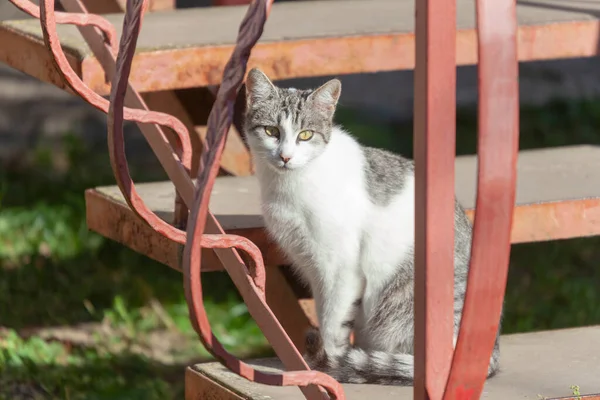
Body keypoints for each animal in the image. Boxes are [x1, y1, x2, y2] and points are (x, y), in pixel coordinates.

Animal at [241, 68, 500, 384]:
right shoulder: (313, 266)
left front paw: (329, 362)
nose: (285, 157)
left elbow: (333, 322)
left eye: (305, 135)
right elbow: (324, 311)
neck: (289, 184)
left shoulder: (340, 267)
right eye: (271, 131)